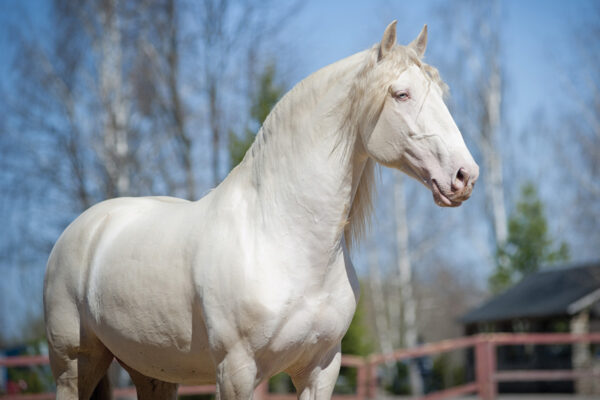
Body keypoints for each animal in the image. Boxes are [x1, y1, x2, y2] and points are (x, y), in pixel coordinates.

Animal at [43, 22, 478, 400]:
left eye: (440, 95)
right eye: (401, 94)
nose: (465, 175)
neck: (283, 237)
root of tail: (83, 228)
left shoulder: (321, 369)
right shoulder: (237, 371)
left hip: (151, 370)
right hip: (75, 365)